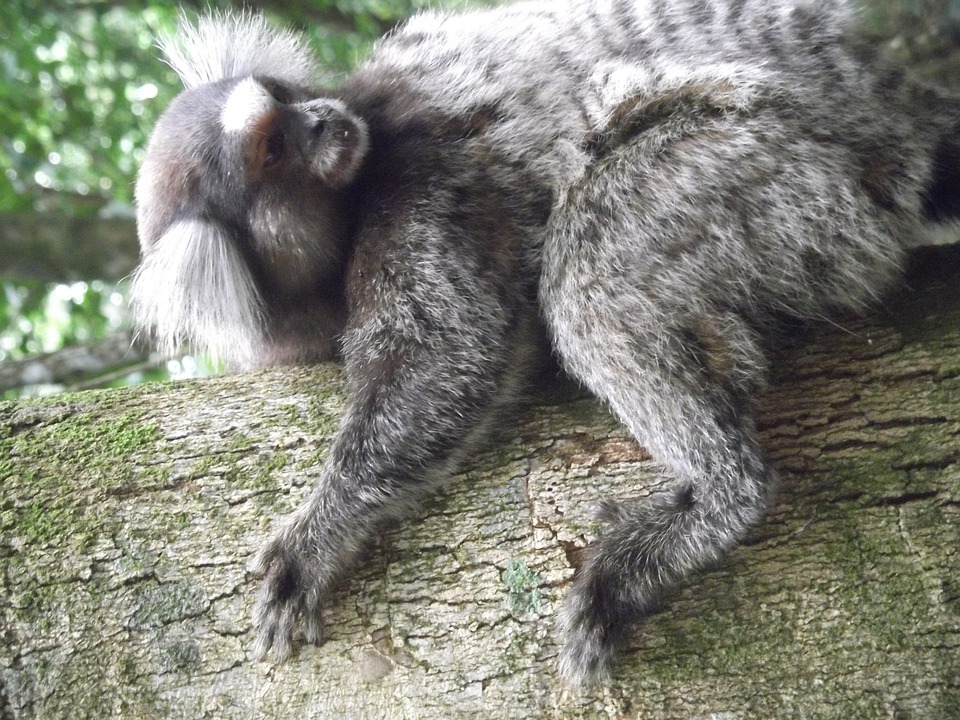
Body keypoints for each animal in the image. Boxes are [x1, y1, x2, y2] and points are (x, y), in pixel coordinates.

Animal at [131, 2, 960, 686]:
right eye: (274, 146)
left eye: (284, 109)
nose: (322, 120)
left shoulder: (425, 174)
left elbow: (448, 352)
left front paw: (316, 538)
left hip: (779, 171)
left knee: (588, 279)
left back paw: (711, 504)